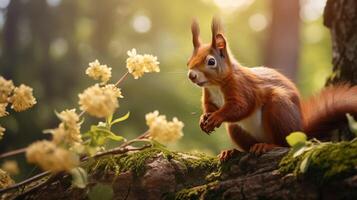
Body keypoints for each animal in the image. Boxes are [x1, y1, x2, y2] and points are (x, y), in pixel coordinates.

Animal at [186, 18, 356, 160]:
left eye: (211, 61)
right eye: (189, 60)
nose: (191, 75)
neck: (215, 85)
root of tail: (300, 131)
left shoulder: (242, 87)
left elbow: (241, 107)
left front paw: (216, 117)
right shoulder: (209, 95)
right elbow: (209, 107)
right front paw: (204, 118)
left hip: (279, 109)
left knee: (285, 144)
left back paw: (267, 146)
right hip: (235, 128)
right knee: (247, 146)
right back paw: (232, 152)